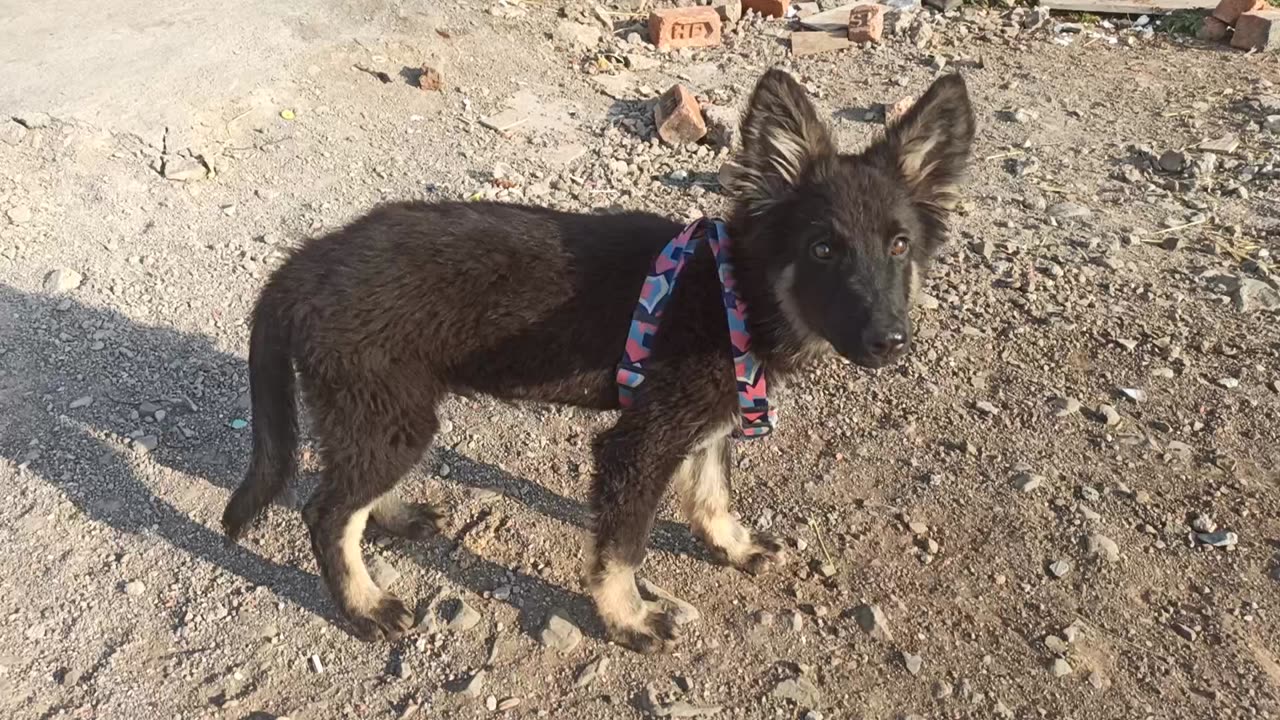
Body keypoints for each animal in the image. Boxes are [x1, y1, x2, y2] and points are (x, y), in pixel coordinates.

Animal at [222, 67, 977, 650]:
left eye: (900, 246)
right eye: (822, 249)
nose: (890, 342)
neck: (734, 287)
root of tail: (305, 262)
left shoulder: (705, 423)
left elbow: (712, 493)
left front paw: (730, 546)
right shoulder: (638, 443)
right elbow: (622, 547)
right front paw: (628, 617)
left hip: (378, 411)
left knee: (351, 489)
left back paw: (394, 515)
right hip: (389, 410)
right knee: (326, 513)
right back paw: (363, 606)